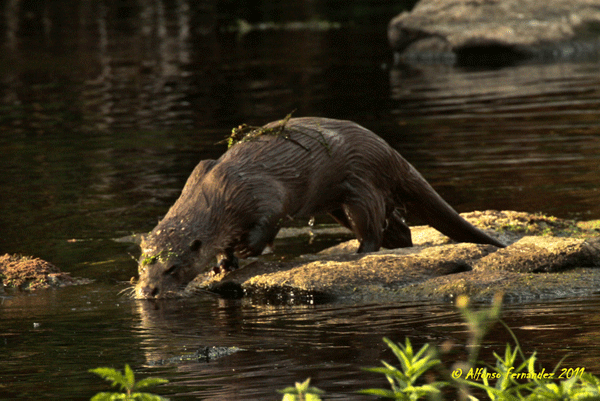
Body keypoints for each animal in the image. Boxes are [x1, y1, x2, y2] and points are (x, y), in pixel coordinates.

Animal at [135, 115, 502, 296]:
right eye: (141, 268)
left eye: (171, 268)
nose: (148, 291)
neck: (216, 193)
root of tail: (387, 150)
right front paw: (223, 264)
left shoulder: (262, 193)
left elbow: (268, 222)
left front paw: (247, 249)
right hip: (340, 204)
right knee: (398, 228)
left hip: (360, 186)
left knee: (373, 229)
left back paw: (358, 254)